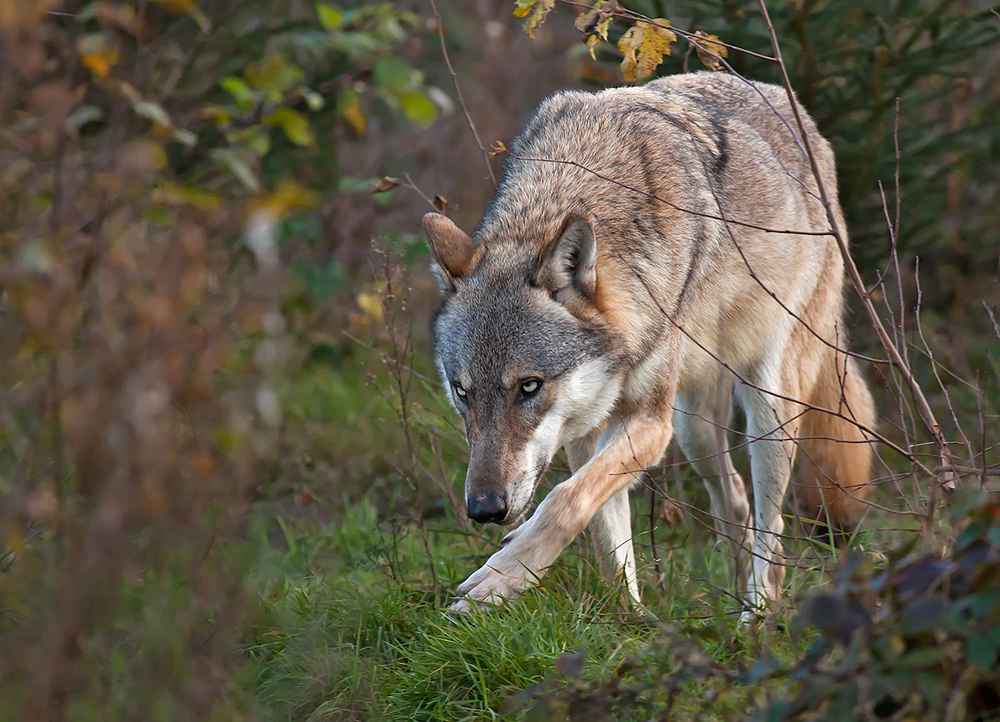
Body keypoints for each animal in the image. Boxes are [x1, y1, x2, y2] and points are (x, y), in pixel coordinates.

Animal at [422, 71, 876, 612]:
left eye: (529, 387)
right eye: (462, 392)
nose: (484, 509)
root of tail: (801, 117)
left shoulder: (648, 422)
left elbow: (564, 500)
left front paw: (499, 579)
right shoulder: (586, 430)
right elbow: (603, 535)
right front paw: (630, 619)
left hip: (764, 409)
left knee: (773, 532)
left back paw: (755, 615)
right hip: (694, 428)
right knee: (735, 500)